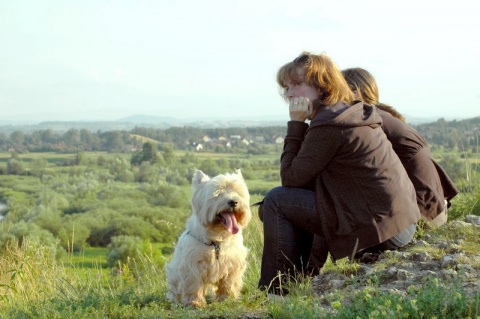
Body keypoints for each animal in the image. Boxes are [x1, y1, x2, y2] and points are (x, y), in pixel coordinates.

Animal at [165, 170, 251, 308]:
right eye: (218, 193)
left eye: (237, 192)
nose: (233, 202)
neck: (216, 240)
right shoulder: (193, 265)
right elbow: (194, 286)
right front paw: (195, 303)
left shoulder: (232, 263)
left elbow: (228, 284)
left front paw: (227, 300)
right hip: (174, 274)